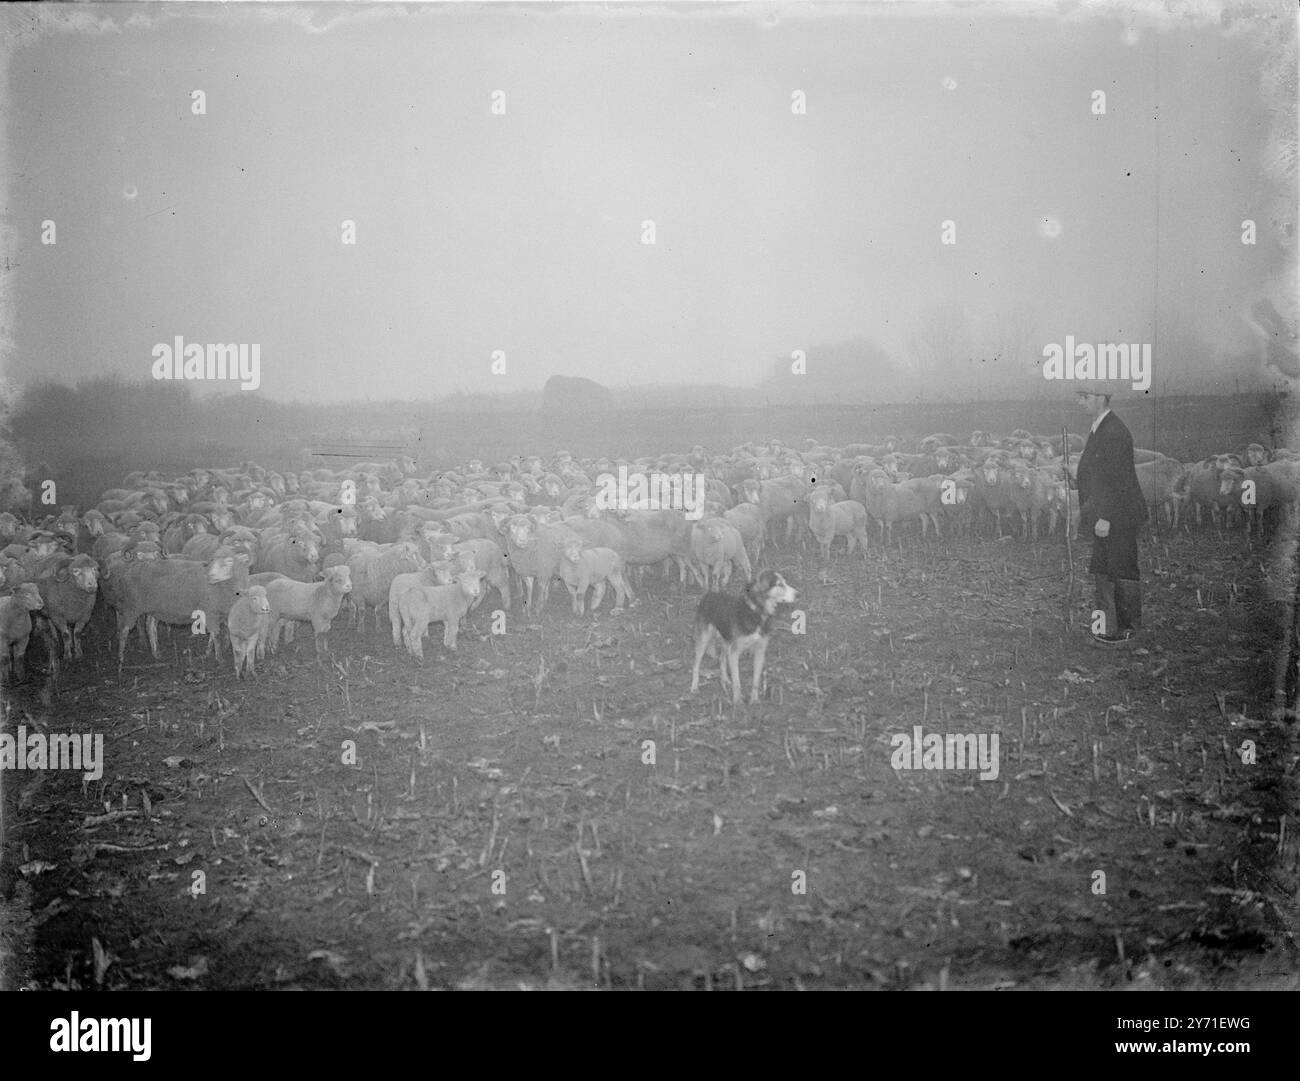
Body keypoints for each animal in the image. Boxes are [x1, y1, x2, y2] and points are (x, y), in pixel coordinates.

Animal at [691, 569, 790, 706]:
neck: (756, 612)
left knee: (721, 659)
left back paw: (725, 680)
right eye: (779, 584)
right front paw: (738, 702)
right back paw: (694, 686)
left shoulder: (760, 650)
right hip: (704, 639)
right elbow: (737, 681)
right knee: (696, 664)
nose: (798, 594)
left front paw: (754, 700)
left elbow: (756, 679)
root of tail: (708, 594)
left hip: (727, 639)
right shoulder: (735, 652)